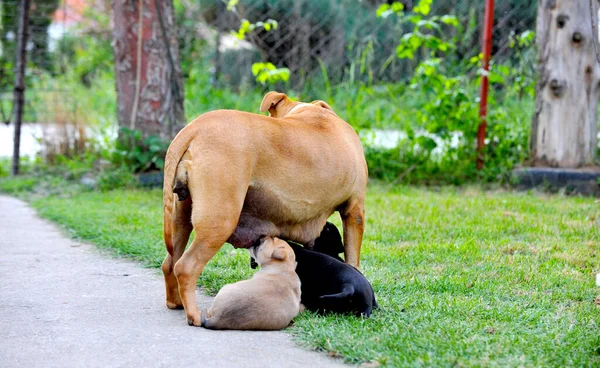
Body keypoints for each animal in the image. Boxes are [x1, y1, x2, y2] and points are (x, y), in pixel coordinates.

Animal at [162, 91, 368, 324]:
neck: (311, 112)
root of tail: (195, 127)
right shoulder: (354, 212)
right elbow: (353, 259)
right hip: (219, 222)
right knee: (186, 267)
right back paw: (194, 315)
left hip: (180, 219)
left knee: (170, 262)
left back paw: (176, 302)